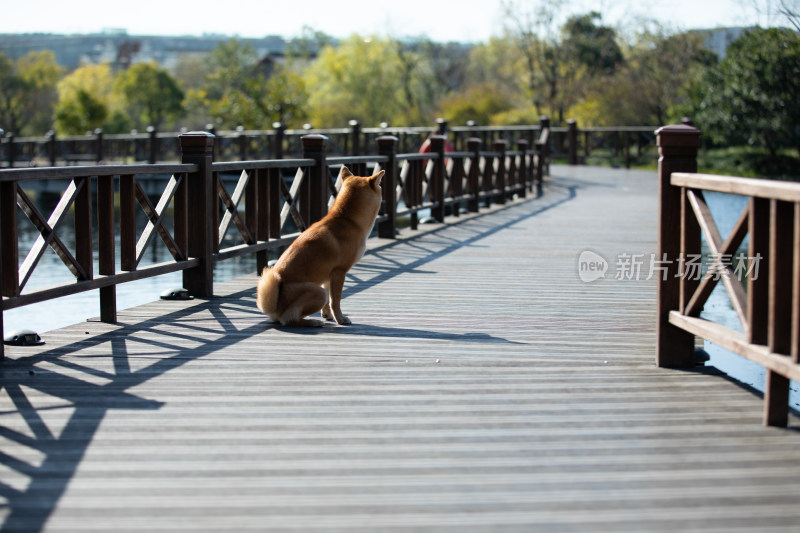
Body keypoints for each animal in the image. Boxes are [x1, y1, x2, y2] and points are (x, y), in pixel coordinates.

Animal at [256, 166, 382, 326]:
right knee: (289, 319)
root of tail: (273, 309)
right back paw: (311, 322)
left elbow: (329, 302)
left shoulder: (329, 274)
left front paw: (327, 315)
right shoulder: (339, 271)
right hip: (318, 293)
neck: (347, 219)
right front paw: (340, 319)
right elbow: (335, 300)